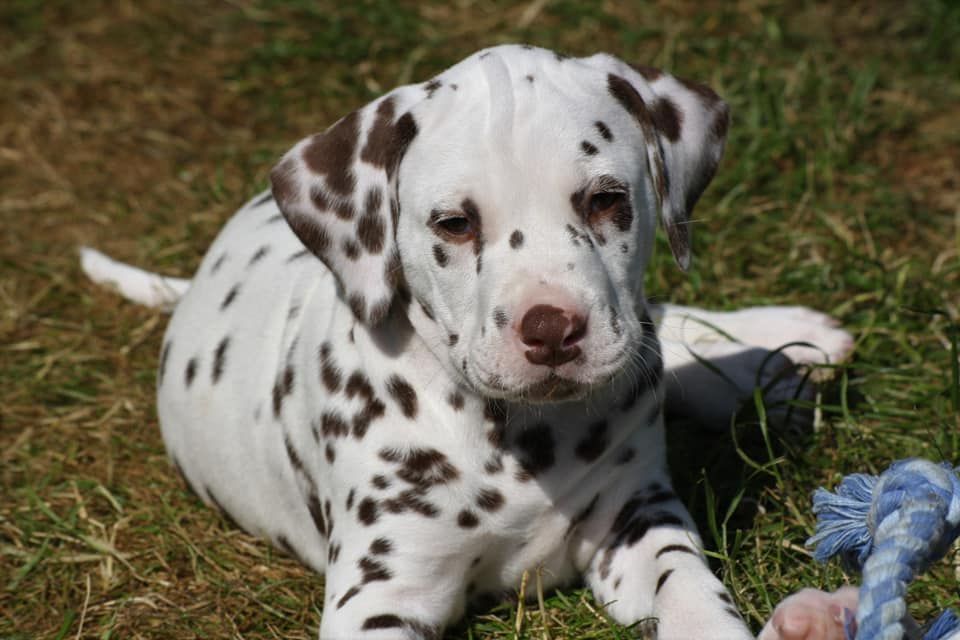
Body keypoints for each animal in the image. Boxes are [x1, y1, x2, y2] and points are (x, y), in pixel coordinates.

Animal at [82, 45, 853, 639]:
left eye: (606, 200)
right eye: (455, 223)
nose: (552, 329)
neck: (518, 437)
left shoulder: (636, 519)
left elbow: (689, 589)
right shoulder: (381, 592)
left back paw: (777, 347)